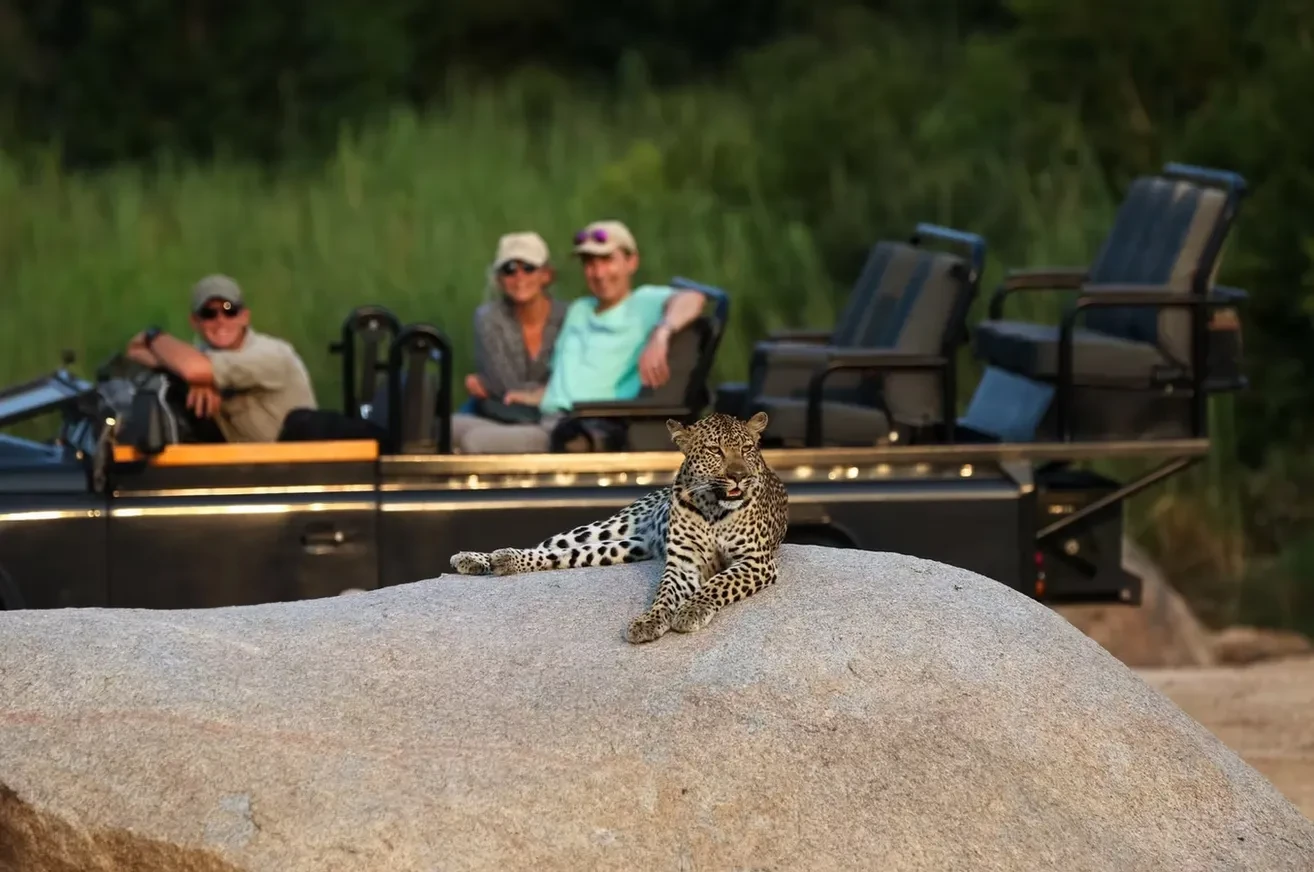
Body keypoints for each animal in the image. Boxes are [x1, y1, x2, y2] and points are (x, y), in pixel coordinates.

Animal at [448, 411, 790, 644]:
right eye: (714, 450)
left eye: (747, 449)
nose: (739, 476)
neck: (713, 508)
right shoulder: (682, 563)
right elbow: (665, 593)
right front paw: (650, 620)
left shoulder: (756, 561)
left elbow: (718, 583)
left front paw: (691, 610)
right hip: (608, 528)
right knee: (547, 547)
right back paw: (479, 558)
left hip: (624, 548)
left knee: (563, 555)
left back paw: (497, 561)